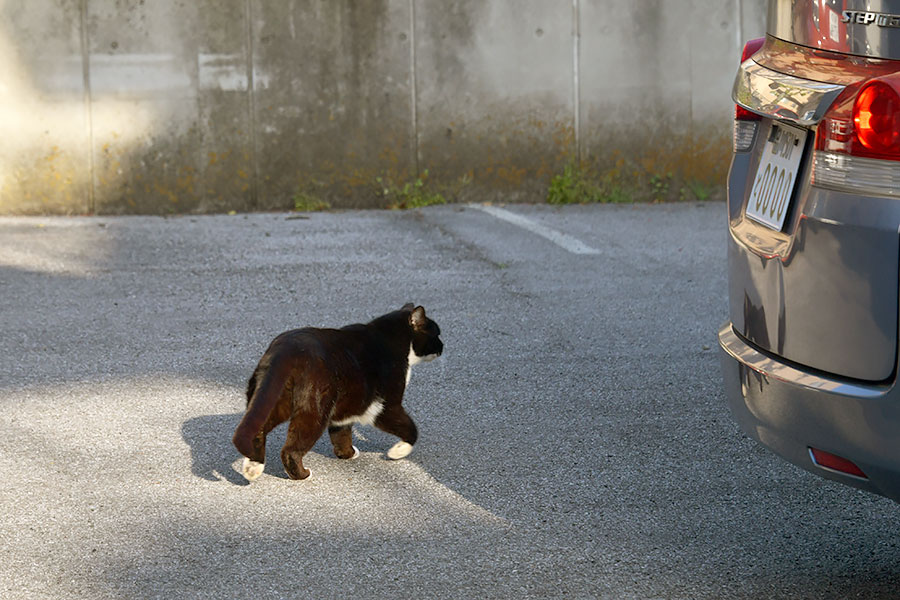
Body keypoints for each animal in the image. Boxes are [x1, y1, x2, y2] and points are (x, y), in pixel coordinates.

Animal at [232, 304, 442, 482]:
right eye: (437, 334)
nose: (442, 346)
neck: (392, 339)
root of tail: (285, 352)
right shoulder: (385, 405)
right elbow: (410, 428)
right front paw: (397, 451)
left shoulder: (348, 406)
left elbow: (341, 433)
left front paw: (347, 454)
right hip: (314, 412)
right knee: (290, 450)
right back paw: (302, 475)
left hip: (272, 399)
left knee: (258, 431)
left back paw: (253, 468)